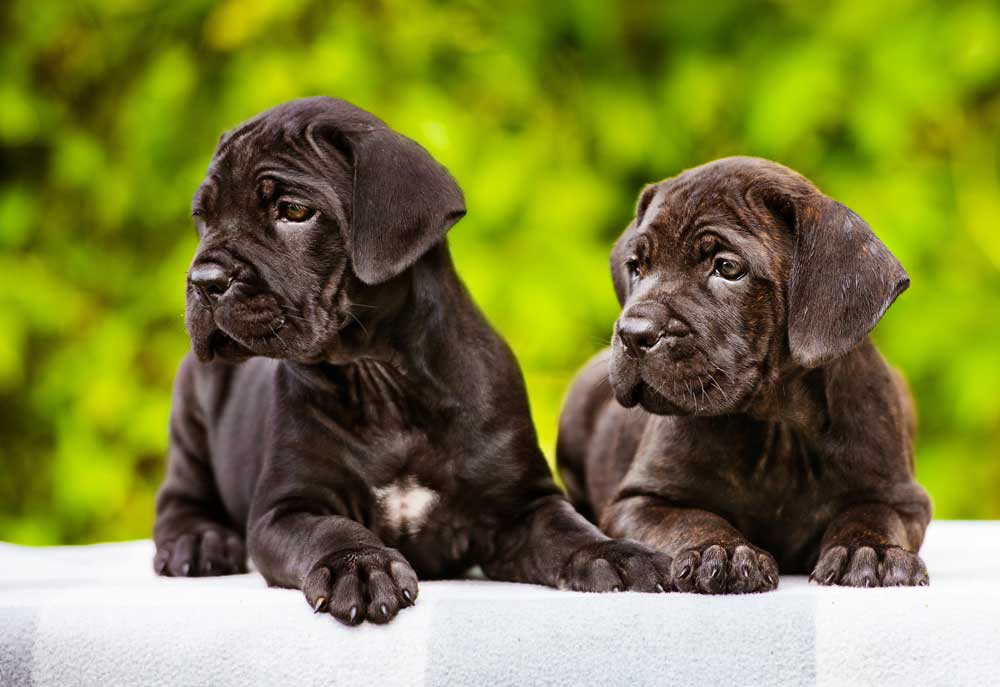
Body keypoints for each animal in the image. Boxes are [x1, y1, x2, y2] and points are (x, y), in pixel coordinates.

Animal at [154, 98, 672, 628]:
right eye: (203, 216)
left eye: (294, 211)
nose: (203, 279)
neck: (382, 382)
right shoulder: (287, 508)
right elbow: (332, 530)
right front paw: (359, 567)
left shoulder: (522, 505)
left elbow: (568, 530)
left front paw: (614, 554)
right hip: (191, 406)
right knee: (179, 494)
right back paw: (198, 540)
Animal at [560, 159, 932, 592]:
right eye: (636, 268)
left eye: (727, 268)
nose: (634, 333)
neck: (777, 424)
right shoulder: (639, 501)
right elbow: (690, 519)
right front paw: (721, 550)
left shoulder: (903, 498)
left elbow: (872, 513)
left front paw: (869, 551)